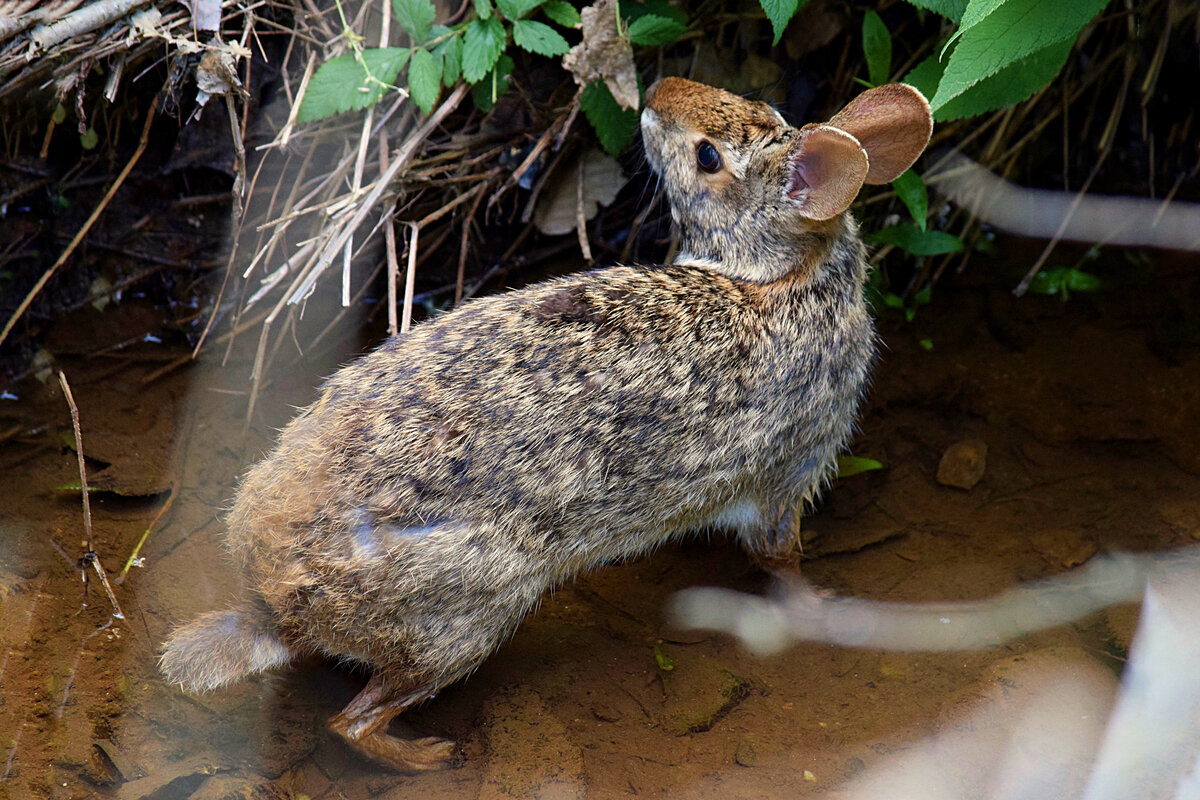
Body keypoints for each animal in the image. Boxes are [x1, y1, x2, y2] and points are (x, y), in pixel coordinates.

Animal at [157, 77, 926, 772]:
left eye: (722, 142)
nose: (658, 91)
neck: (785, 277)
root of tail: (271, 605)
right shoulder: (786, 475)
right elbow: (780, 559)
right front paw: (826, 607)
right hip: (470, 612)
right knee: (354, 720)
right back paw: (431, 758)